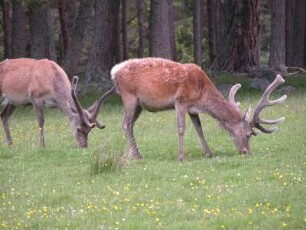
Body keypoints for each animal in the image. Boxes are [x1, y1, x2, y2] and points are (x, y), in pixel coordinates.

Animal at [106, 58, 286, 160]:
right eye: (249, 134)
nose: (246, 152)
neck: (202, 95)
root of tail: (114, 71)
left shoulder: (192, 109)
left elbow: (200, 130)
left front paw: (209, 153)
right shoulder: (180, 101)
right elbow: (181, 129)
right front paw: (181, 157)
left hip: (139, 105)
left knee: (130, 124)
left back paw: (135, 153)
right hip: (129, 97)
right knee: (125, 123)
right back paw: (137, 155)